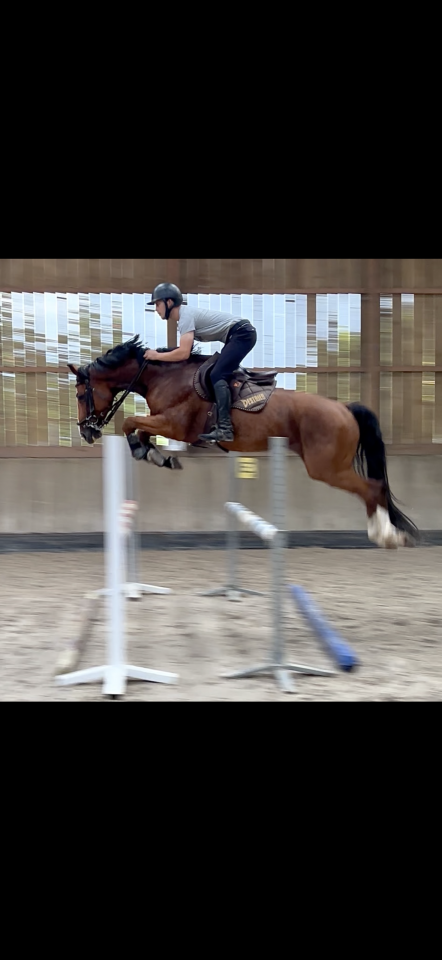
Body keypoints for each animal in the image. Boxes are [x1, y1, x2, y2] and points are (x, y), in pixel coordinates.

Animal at [68, 334, 419, 550]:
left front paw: (150, 452)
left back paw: (386, 536)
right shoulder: (163, 422)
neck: (164, 377)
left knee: (372, 488)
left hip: (326, 468)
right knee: (373, 488)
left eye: (81, 394)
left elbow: (130, 423)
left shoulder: (176, 426)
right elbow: (139, 430)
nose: (87, 432)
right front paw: (158, 456)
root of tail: (344, 408)